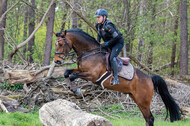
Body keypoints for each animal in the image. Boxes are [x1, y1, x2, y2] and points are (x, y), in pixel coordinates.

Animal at [53, 28, 181, 126]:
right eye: (56, 44)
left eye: (61, 44)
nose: (57, 61)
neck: (89, 53)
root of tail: (150, 78)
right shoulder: (81, 70)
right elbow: (67, 73)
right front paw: (71, 88)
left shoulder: (92, 75)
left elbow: (72, 76)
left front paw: (77, 90)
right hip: (137, 99)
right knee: (148, 118)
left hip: (143, 101)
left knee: (150, 118)